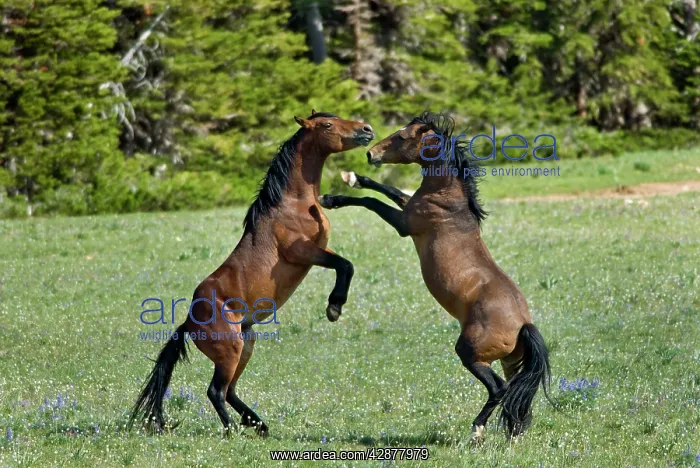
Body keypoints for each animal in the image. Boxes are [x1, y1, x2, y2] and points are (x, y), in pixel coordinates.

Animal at [129, 110, 375, 436]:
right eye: (327, 125)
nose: (367, 129)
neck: (293, 203)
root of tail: (188, 323)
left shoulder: (320, 249)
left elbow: (345, 264)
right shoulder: (303, 252)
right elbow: (345, 265)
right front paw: (334, 307)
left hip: (246, 344)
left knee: (230, 391)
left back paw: (258, 424)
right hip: (231, 350)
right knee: (216, 391)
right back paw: (234, 429)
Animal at [319, 111, 552, 442]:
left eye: (403, 137)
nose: (371, 154)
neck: (447, 198)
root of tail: (523, 324)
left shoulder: (404, 222)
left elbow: (372, 202)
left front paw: (331, 198)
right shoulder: (407, 205)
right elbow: (391, 191)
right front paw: (353, 177)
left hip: (470, 354)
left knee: (499, 389)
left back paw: (477, 431)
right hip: (511, 362)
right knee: (517, 393)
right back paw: (514, 434)